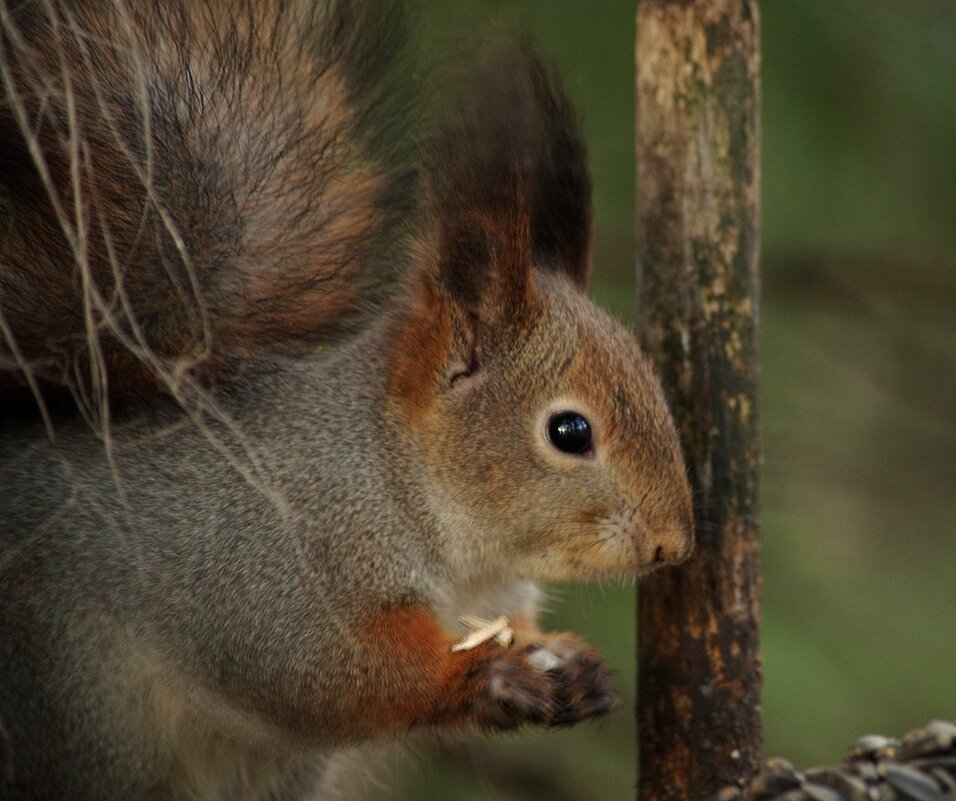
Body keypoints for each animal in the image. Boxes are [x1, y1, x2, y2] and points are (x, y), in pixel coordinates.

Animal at [0, 1, 692, 800]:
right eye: (570, 431)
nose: (673, 545)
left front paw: (570, 665)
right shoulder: (268, 570)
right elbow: (328, 675)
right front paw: (487, 677)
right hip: (79, 719)